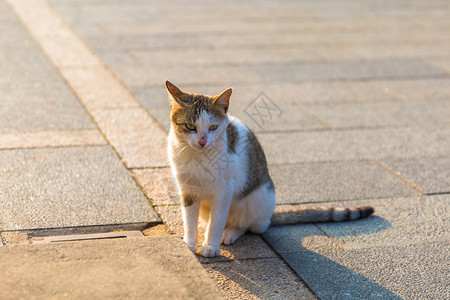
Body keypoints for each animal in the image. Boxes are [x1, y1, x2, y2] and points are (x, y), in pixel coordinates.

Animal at [165, 80, 372, 258]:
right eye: (190, 126)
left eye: (213, 127)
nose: (202, 141)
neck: (197, 157)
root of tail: (270, 215)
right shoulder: (187, 189)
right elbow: (189, 220)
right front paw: (189, 244)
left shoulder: (224, 191)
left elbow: (217, 221)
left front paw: (210, 246)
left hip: (257, 199)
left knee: (247, 225)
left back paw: (229, 232)